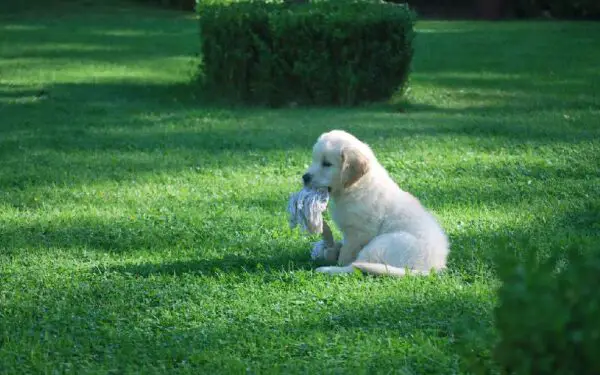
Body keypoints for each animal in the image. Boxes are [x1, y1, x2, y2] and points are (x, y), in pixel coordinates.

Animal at [304, 131, 450, 278]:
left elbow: (346, 254)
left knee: (355, 267)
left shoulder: (358, 232)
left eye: (327, 164)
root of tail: (432, 268)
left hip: (381, 243)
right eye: (314, 160)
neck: (355, 186)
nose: (305, 177)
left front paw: (337, 258)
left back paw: (326, 269)